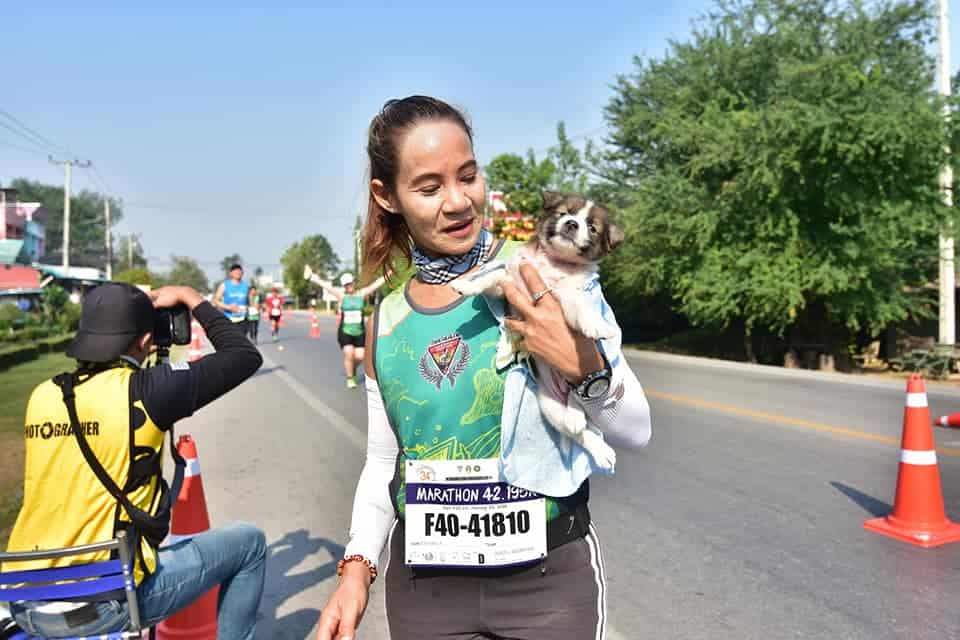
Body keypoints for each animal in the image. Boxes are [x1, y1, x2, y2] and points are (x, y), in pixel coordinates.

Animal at [454, 191, 628, 470]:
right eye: (563, 213)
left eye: (592, 228)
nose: (571, 224)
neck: (554, 262)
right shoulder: (508, 284)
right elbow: (492, 278)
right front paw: (466, 285)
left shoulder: (565, 296)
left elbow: (579, 304)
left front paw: (596, 324)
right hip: (549, 407)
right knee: (578, 429)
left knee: (579, 406)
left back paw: (593, 438)